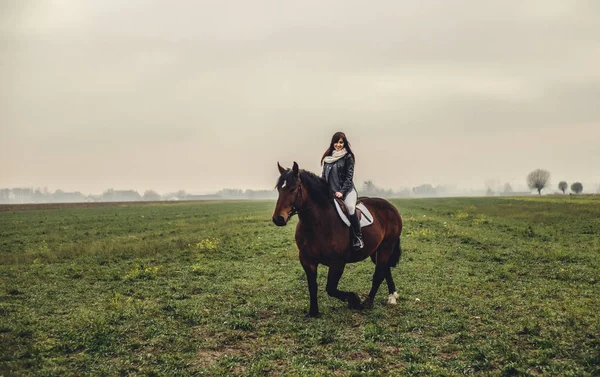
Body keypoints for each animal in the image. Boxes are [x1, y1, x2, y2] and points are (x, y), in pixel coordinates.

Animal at [272, 162, 404, 318]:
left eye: (292, 189)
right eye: (279, 189)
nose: (278, 219)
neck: (318, 223)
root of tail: (391, 206)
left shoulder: (337, 263)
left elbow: (331, 288)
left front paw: (354, 300)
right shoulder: (307, 260)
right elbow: (312, 286)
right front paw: (313, 312)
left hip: (386, 247)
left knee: (379, 273)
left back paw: (368, 302)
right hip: (375, 250)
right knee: (385, 269)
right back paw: (392, 296)